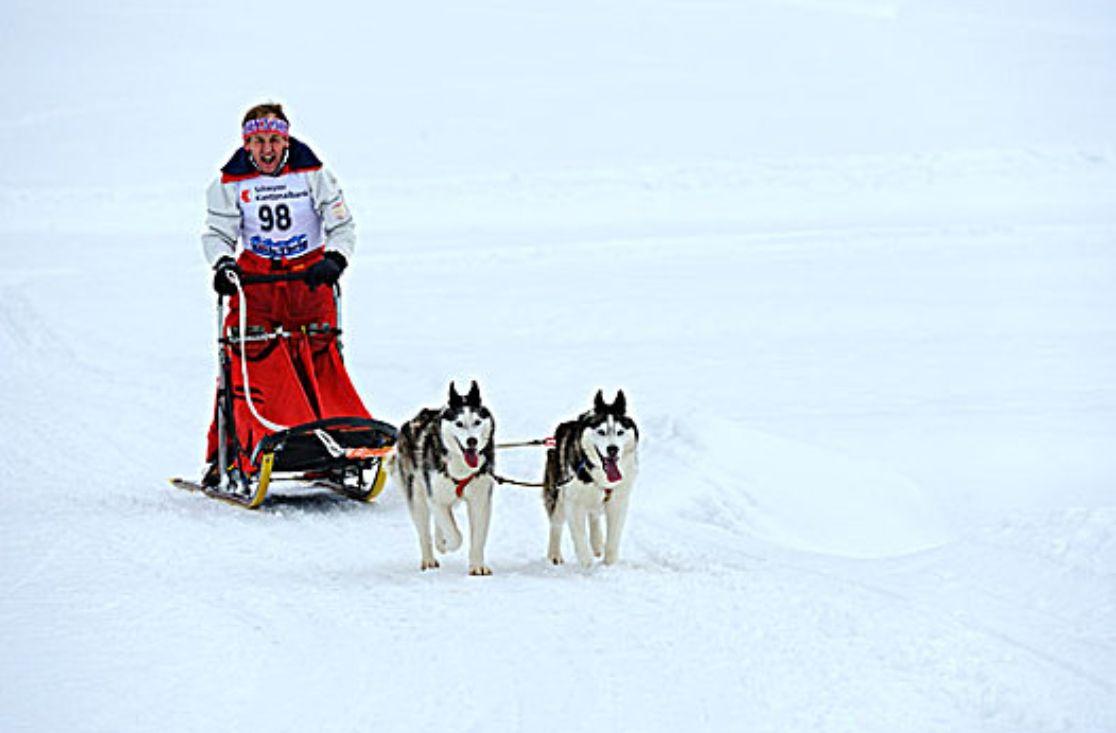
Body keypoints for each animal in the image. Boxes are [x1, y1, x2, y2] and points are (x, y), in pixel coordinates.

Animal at [395, 379, 495, 575]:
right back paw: (429, 558)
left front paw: (477, 565)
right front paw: (446, 544)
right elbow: (455, 536)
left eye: (477, 421)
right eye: (459, 423)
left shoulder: (480, 501)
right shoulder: (436, 497)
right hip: (418, 497)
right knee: (424, 531)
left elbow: (478, 537)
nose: (472, 441)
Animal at [544, 388, 642, 566]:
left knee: (594, 516)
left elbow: (613, 540)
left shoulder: (618, 503)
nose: (613, 449)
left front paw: (609, 564)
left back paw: (597, 544)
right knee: (556, 523)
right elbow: (580, 539)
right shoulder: (573, 504)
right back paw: (554, 554)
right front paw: (587, 566)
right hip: (557, 495)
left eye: (620, 432)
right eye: (601, 432)